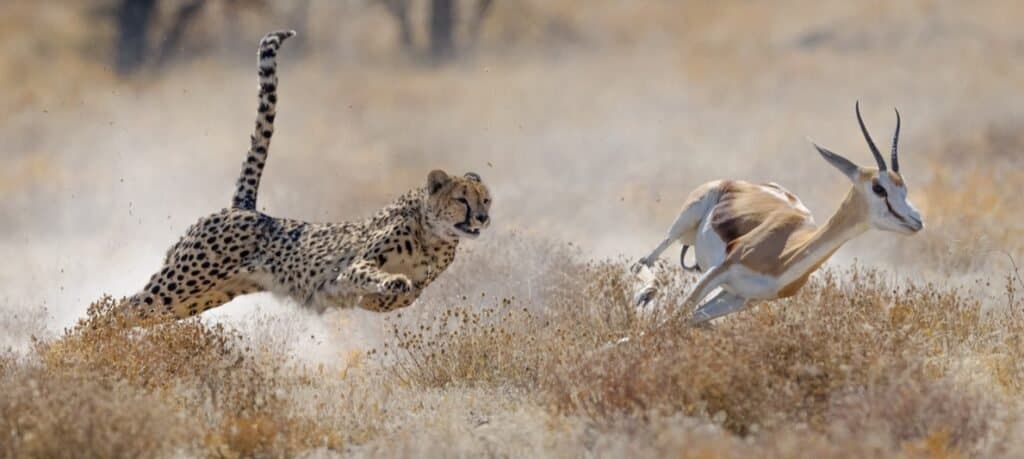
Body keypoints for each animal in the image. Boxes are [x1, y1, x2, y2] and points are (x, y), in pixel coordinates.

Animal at [122, 30, 491, 319]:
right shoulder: (354, 266)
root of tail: (243, 207)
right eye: (462, 199)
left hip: (197, 297)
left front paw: (379, 298)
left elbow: (408, 295)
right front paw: (389, 284)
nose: (483, 218)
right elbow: (379, 277)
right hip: (182, 281)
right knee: (121, 308)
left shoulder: (418, 281)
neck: (433, 235)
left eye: (486, 200)